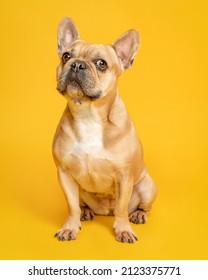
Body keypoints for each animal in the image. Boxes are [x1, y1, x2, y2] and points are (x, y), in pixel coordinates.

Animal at [52, 17, 157, 243]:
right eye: (66, 56)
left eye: (101, 64)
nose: (77, 64)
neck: (88, 115)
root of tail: (105, 211)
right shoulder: (64, 173)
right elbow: (71, 206)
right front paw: (70, 227)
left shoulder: (124, 177)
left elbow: (122, 208)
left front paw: (123, 229)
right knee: (81, 204)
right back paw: (85, 212)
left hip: (147, 187)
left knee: (140, 206)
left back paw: (139, 214)